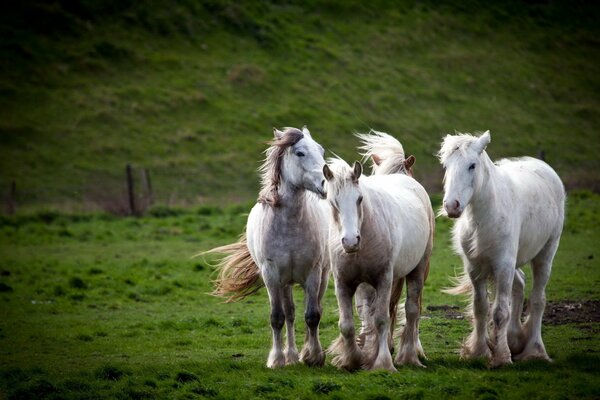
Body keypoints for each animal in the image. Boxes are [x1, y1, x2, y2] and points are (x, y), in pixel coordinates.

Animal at [206, 126, 328, 368]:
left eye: (321, 150)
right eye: (300, 153)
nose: (326, 184)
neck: (290, 224)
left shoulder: (314, 272)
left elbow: (312, 315)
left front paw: (314, 356)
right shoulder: (271, 275)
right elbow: (277, 317)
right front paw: (277, 359)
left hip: (322, 276)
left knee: (310, 309)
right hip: (284, 283)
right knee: (289, 314)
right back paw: (291, 355)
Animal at [324, 154, 432, 372]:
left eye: (359, 199)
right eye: (333, 202)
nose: (350, 241)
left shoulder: (384, 279)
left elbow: (382, 319)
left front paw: (383, 363)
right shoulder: (343, 283)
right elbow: (347, 324)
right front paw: (353, 360)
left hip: (418, 269)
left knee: (411, 309)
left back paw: (408, 356)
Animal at [438, 132, 564, 368]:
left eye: (472, 165)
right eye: (446, 166)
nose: (451, 206)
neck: (485, 216)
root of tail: (542, 166)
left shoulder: (503, 265)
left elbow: (500, 312)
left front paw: (502, 357)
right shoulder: (475, 268)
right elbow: (480, 308)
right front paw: (480, 352)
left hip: (545, 254)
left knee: (537, 299)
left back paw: (534, 350)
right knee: (520, 285)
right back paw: (515, 339)